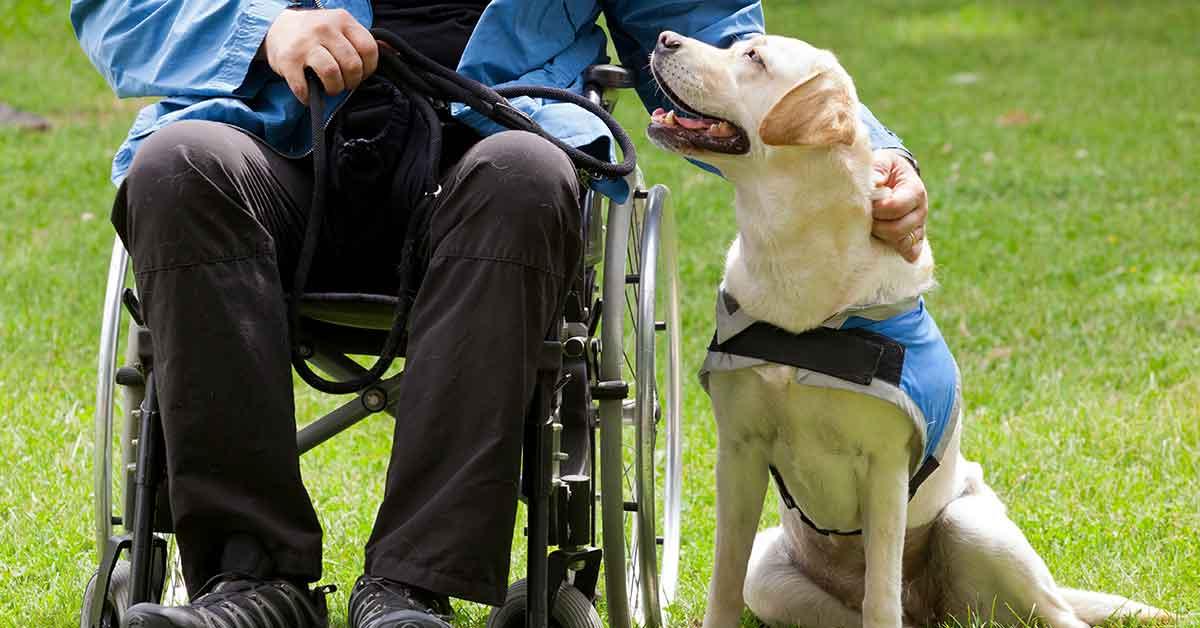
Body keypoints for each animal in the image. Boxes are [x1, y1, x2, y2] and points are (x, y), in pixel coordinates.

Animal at [648, 33, 1171, 628]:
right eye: (737, 45)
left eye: (754, 59)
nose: (664, 39)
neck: (794, 263)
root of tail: (932, 612)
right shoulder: (739, 451)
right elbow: (723, 583)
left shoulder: (884, 467)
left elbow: (881, 597)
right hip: (773, 577)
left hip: (973, 526)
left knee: (1056, 615)